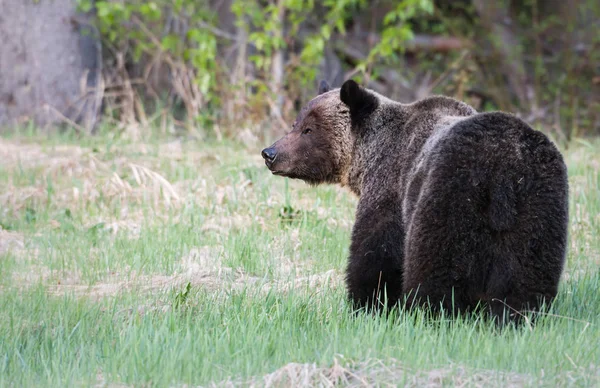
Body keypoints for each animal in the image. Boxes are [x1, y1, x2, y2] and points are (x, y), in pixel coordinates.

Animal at [262, 79, 568, 322]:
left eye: (308, 129)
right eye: (296, 123)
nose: (270, 153)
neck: (369, 156)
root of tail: (504, 170)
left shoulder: (391, 188)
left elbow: (376, 253)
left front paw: (368, 304)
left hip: (450, 194)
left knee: (436, 268)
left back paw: (430, 313)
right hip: (540, 209)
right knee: (526, 278)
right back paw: (515, 317)